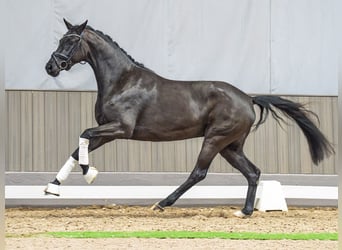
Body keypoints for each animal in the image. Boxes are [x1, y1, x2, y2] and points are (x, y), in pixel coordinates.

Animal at [44, 20, 332, 217]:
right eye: (60, 40)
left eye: (71, 41)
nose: (51, 67)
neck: (122, 81)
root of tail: (248, 99)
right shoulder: (107, 130)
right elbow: (78, 147)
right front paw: (53, 187)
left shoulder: (120, 129)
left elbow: (83, 135)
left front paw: (89, 174)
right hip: (230, 146)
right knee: (252, 172)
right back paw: (244, 211)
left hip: (215, 139)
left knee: (199, 173)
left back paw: (162, 203)